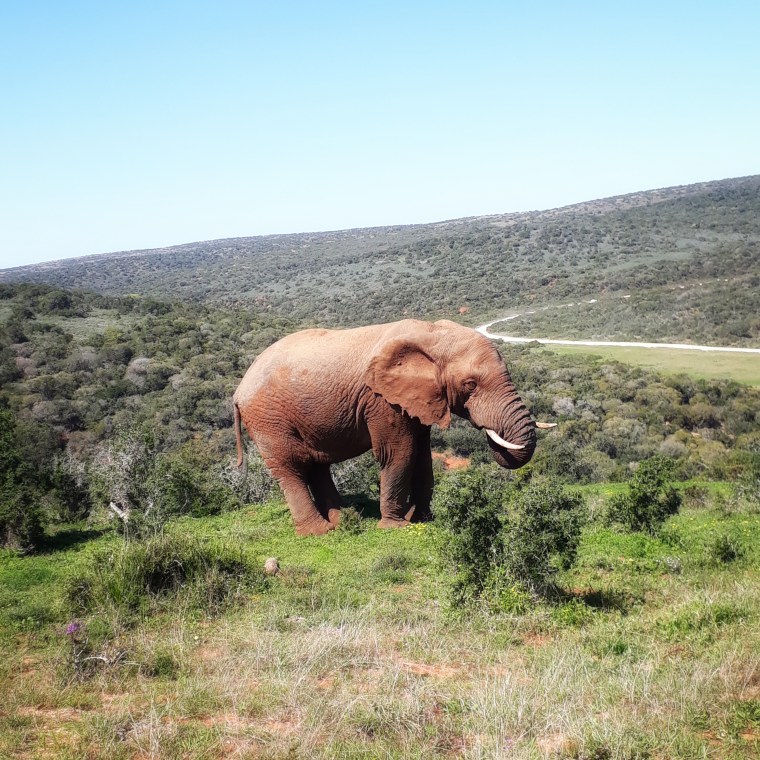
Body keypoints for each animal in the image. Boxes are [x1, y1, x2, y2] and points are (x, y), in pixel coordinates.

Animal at [233, 319, 550, 536]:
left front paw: (423, 519)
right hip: (268, 418)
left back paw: (345, 520)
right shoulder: (382, 400)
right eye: (470, 384)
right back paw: (319, 532)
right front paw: (396, 527)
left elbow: (422, 455)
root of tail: (238, 391)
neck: (433, 334)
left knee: (316, 465)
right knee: (291, 467)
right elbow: (400, 453)